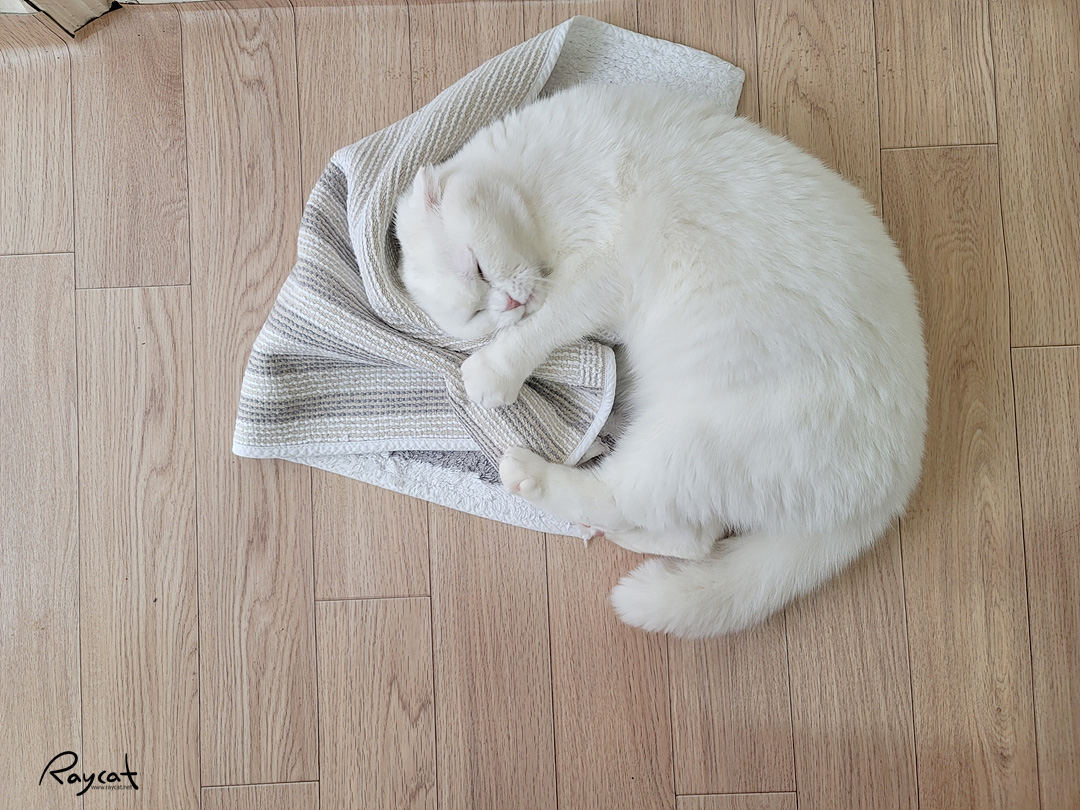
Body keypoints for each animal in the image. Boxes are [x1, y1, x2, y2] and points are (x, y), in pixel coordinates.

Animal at [394, 84, 928, 637]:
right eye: (476, 312)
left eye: (478, 267)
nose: (508, 305)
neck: (533, 181)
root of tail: (890, 492)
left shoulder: (603, 275)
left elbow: (550, 323)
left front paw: (491, 371)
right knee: (691, 536)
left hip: (687, 440)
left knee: (622, 499)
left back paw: (529, 476)